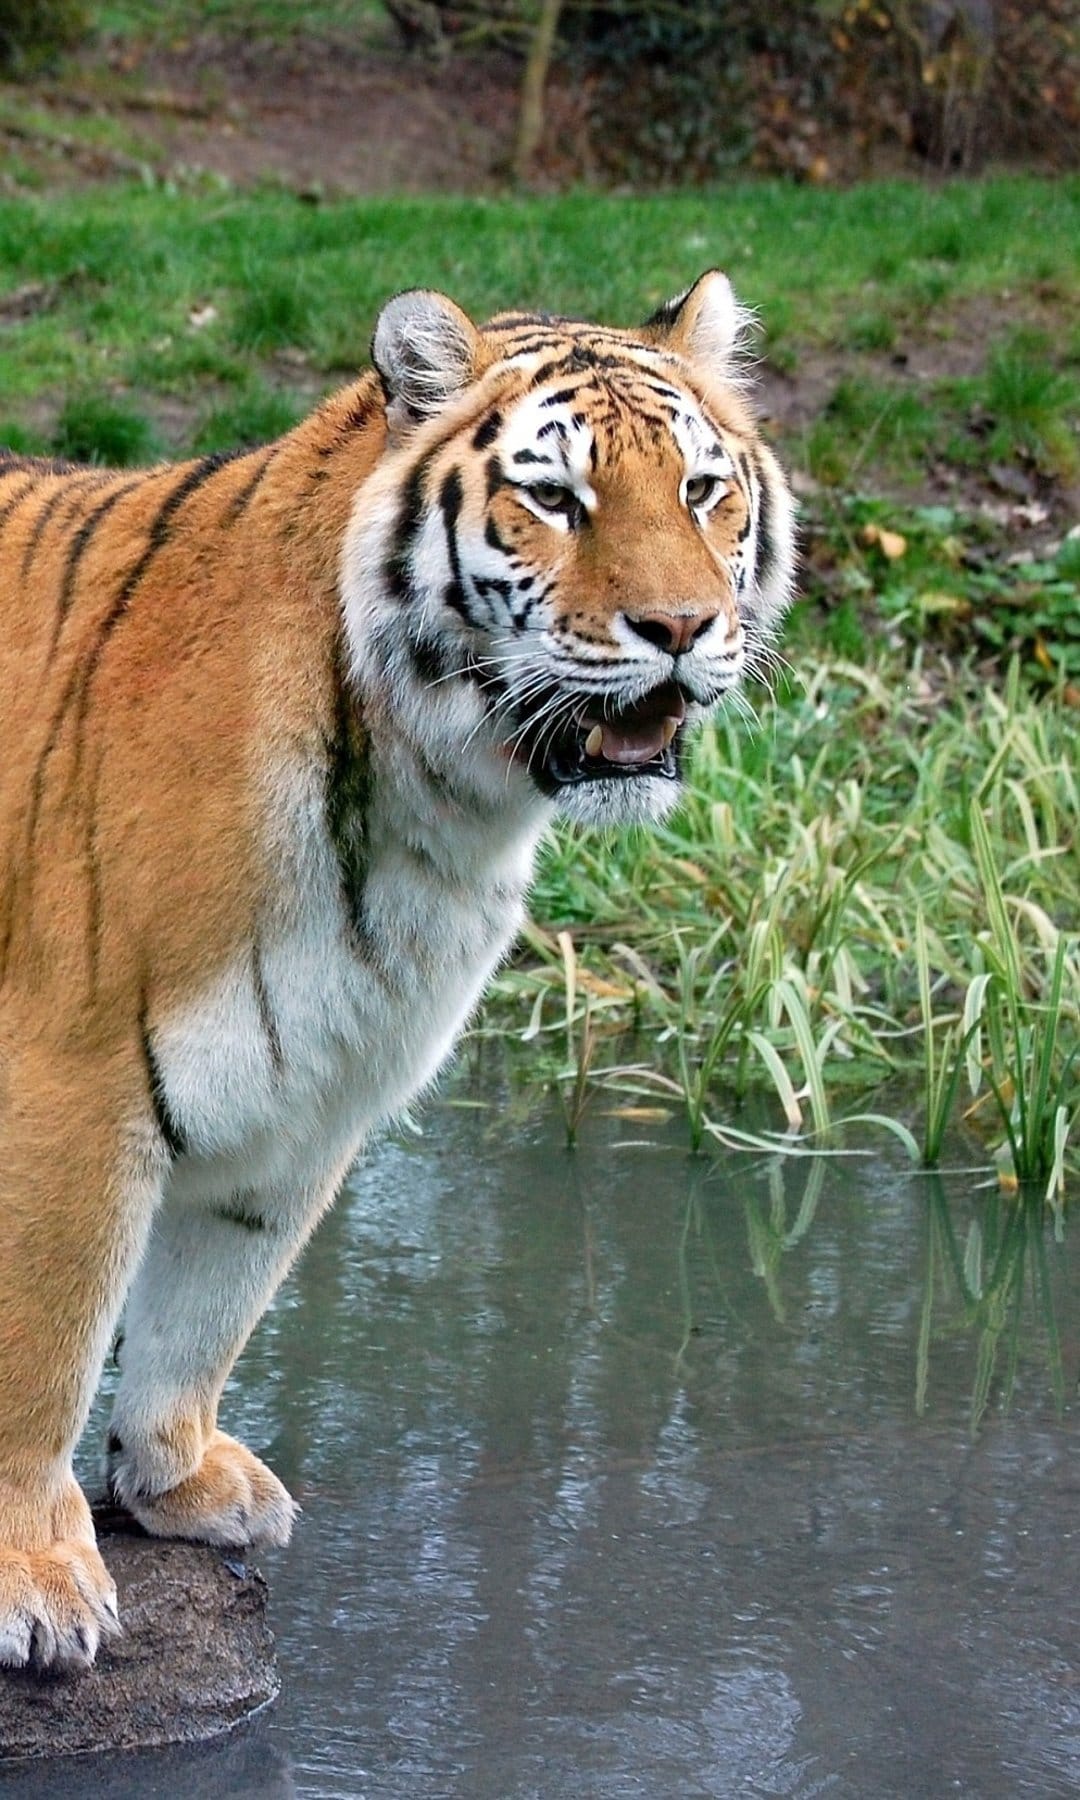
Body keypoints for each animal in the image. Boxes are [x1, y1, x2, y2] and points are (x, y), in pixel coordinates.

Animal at [0, 271, 794, 1670]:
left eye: (703, 490)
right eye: (556, 497)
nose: (684, 627)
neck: (437, 801)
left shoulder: (315, 1083)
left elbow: (214, 1302)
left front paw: (177, 1478)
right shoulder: (70, 1083)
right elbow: (42, 1348)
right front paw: (36, 1576)